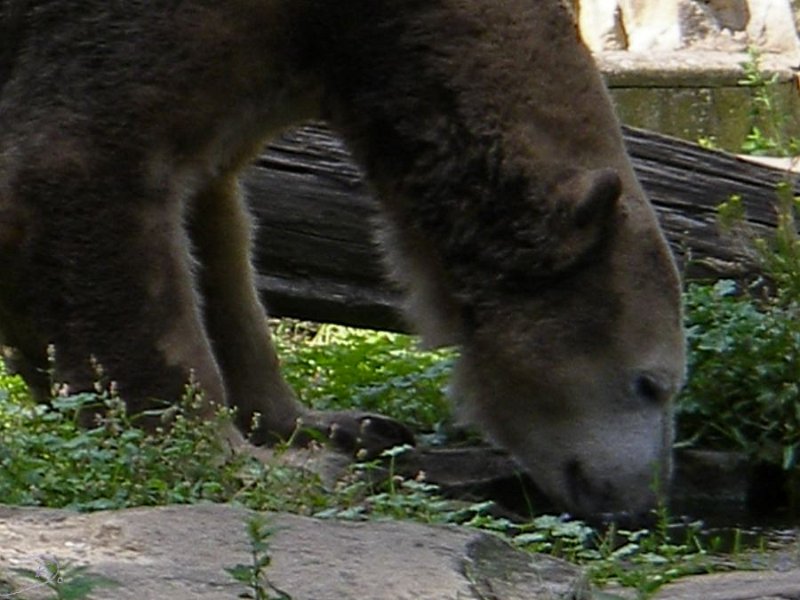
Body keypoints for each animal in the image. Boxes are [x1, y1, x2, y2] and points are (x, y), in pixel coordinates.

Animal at [1, 0, 680, 524]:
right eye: (649, 383)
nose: (641, 505)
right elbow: (84, 158)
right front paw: (250, 463)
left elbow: (218, 234)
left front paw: (336, 425)